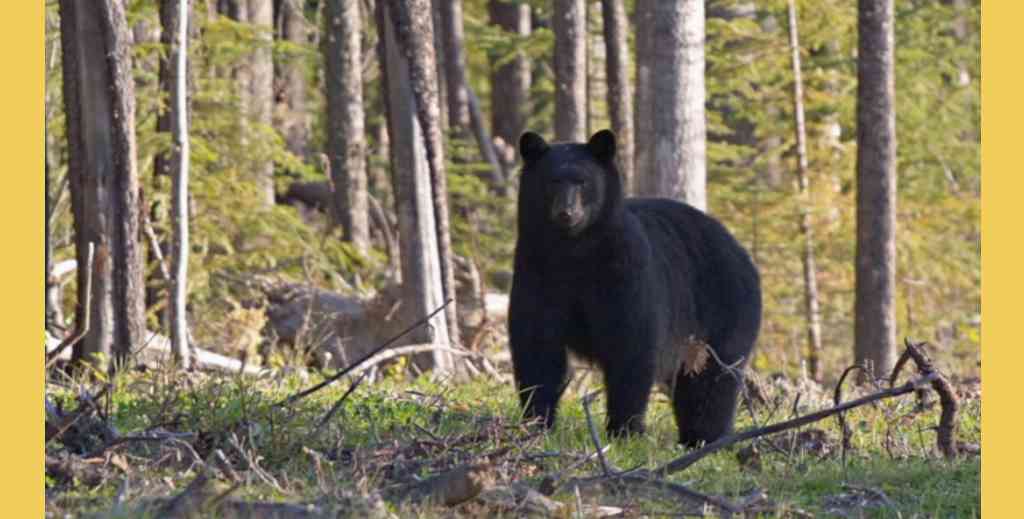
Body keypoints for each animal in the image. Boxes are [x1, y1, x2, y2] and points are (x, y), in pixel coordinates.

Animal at [509, 128, 761, 446]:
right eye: (552, 181)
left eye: (583, 181)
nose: (566, 213)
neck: (575, 252)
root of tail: (741, 251)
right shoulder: (536, 272)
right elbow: (537, 346)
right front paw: (537, 423)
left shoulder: (626, 274)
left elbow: (631, 346)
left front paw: (624, 431)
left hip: (724, 308)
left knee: (712, 381)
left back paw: (705, 437)